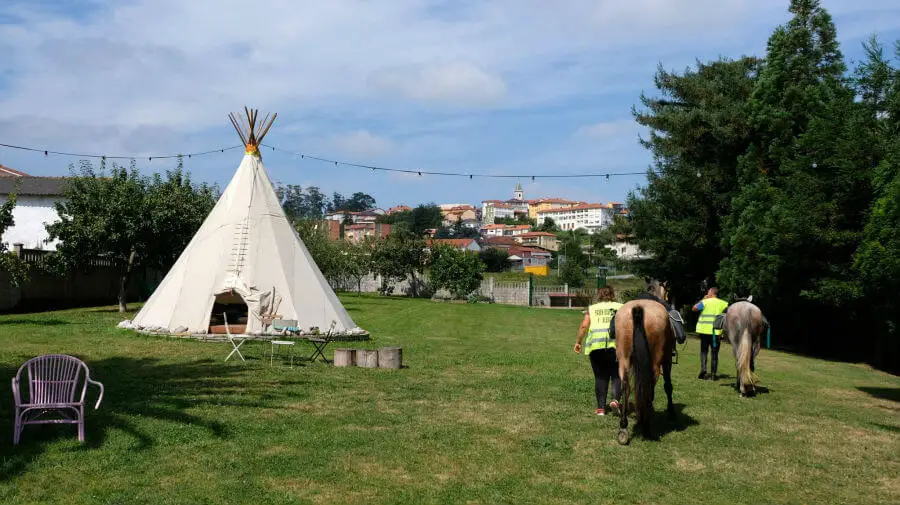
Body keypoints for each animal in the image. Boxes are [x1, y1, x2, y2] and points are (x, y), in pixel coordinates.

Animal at [616, 298, 680, 442]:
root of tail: (638, 308)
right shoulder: (667, 360)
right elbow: (668, 386)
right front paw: (671, 413)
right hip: (655, 363)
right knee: (649, 389)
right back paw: (646, 427)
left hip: (623, 359)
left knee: (625, 386)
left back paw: (624, 427)